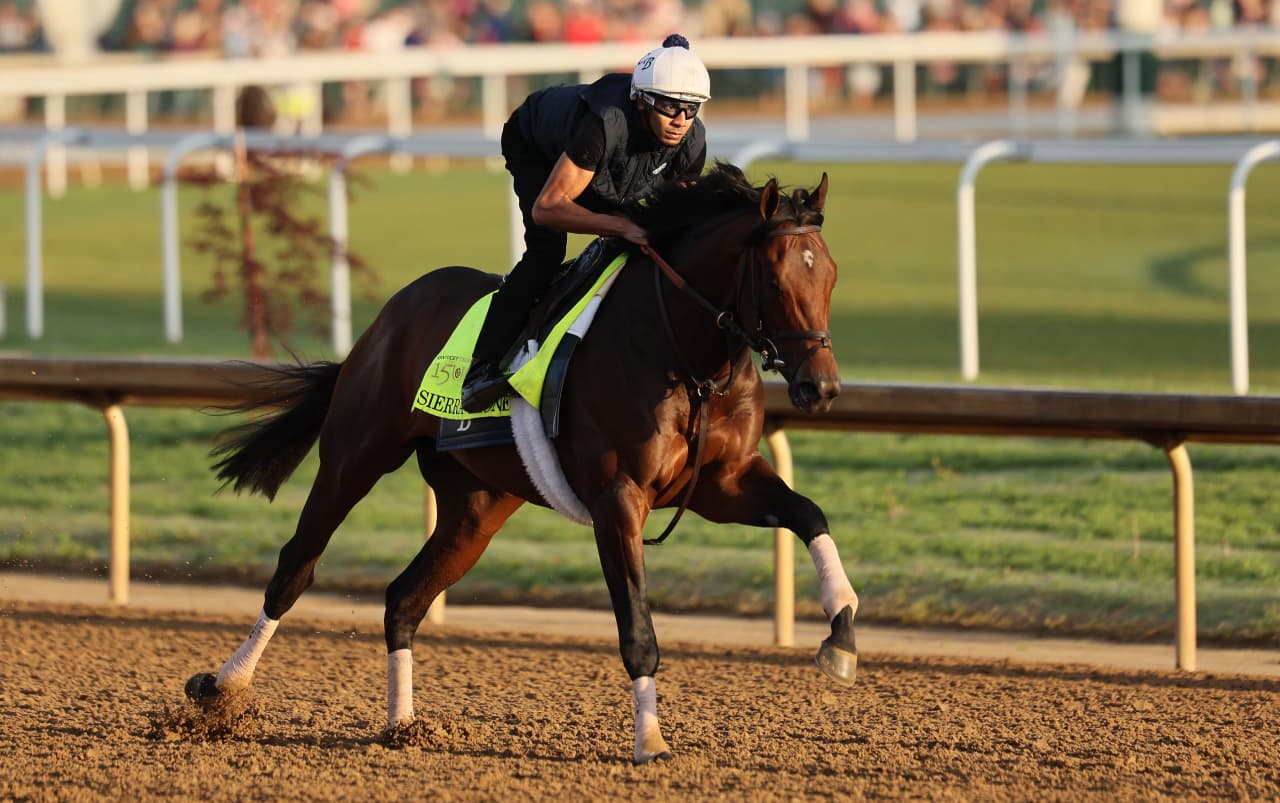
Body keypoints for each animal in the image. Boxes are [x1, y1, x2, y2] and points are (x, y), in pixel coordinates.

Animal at [183, 162, 860, 768]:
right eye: (775, 281)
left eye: (829, 275)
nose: (821, 388)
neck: (686, 357)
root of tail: (389, 316)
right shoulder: (619, 498)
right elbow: (637, 627)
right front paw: (650, 742)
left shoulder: (724, 481)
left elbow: (809, 515)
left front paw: (842, 633)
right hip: (356, 454)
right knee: (296, 567)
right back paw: (224, 688)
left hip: (477, 507)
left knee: (404, 597)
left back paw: (404, 727)